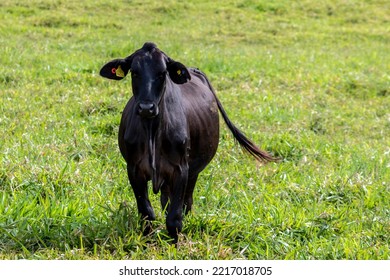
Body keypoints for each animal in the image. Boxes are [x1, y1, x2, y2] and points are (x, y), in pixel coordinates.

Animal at [100, 42, 274, 242]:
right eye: (134, 72)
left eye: (162, 73)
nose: (146, 107)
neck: (152, 131)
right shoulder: (134, 169)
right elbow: (146, 212)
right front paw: (147, 241)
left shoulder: (181, 169)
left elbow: (174, 217)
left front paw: (174, 244)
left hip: (193, 171)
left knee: (186, 202)